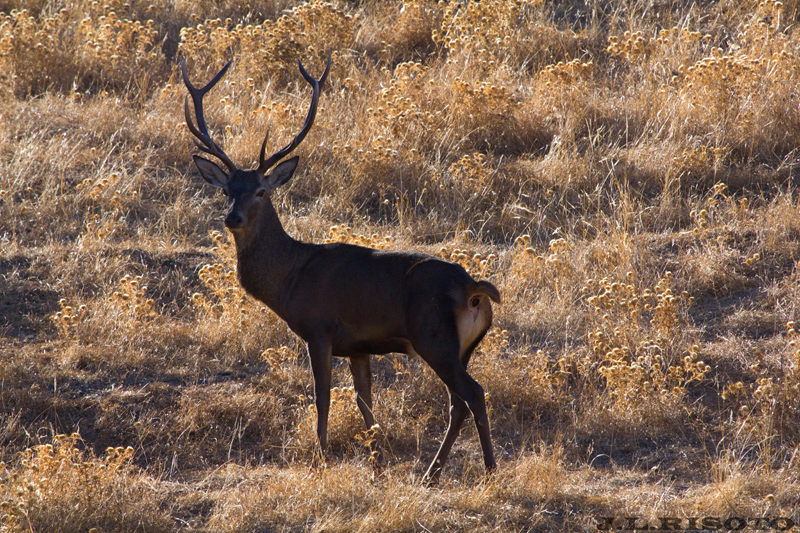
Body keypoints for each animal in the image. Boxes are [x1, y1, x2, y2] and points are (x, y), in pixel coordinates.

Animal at [181, 54, 500, 482]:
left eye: (261, 191)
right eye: (228, 190)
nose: (232, 217)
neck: (290, 279)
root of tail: (473, 289)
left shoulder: (319, 329)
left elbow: (323, 398)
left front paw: (323, 457)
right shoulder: (359, 346)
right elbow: (366, 404)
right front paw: (376, 461)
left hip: (435, 339)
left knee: (472, 395)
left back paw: (484, 468)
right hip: (461, 348)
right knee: (459, 401)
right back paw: (434, 472)